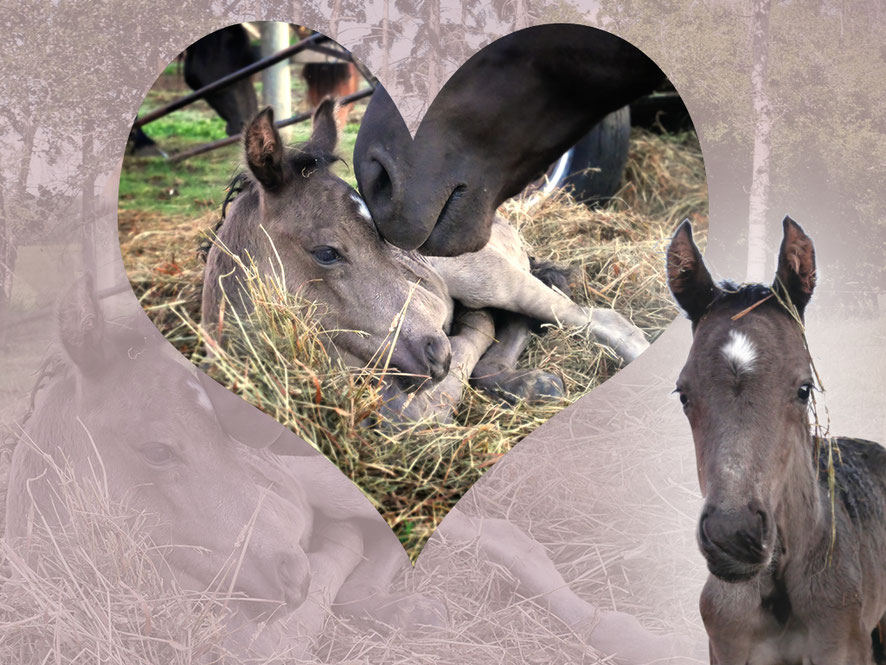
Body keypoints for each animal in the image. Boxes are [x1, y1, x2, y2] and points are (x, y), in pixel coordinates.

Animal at [201, 99, 650, 424]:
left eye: (384, 238)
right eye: (326, 252)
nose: (438, 353)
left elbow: (410, 411)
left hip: (489, 279)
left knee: (595, 318)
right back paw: (528, 383)